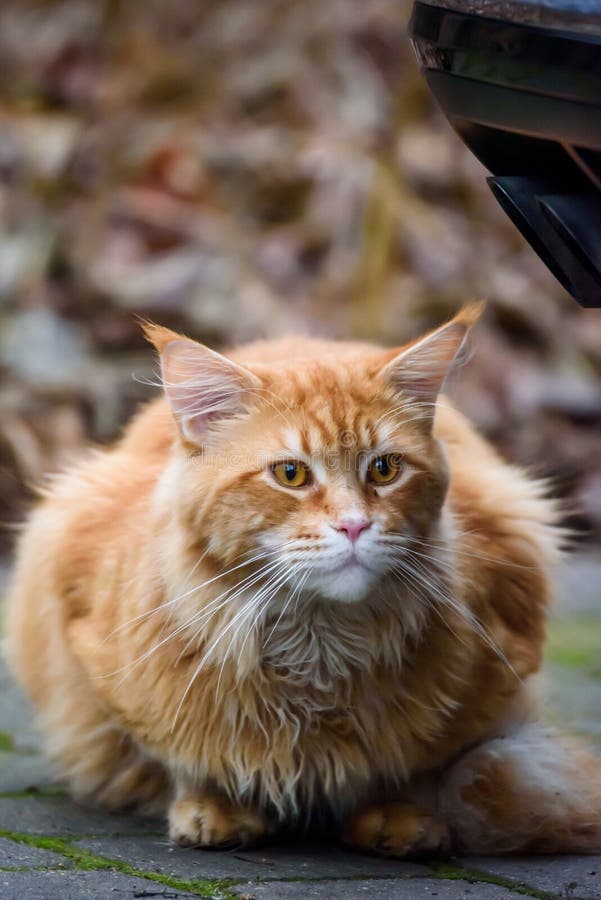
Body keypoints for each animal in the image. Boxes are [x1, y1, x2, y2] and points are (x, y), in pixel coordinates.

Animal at [5, 306, 600, 856]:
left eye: (385, 469)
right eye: (290, 474)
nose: (354, 525)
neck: (318, 651)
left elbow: (422, 761)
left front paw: (399, 813)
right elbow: (179, 753)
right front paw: (214, 806)